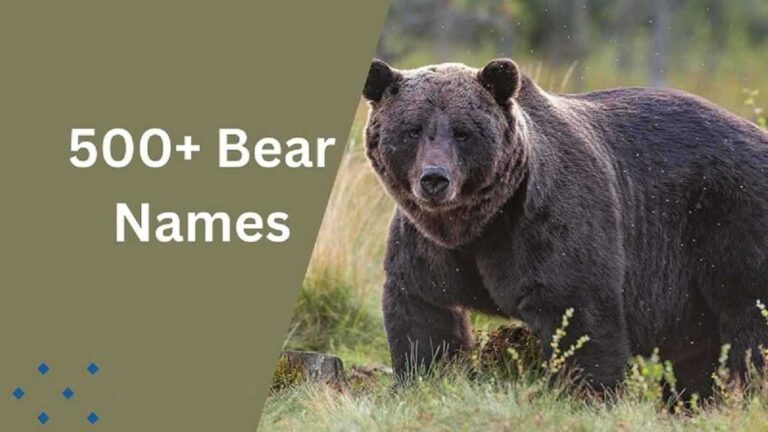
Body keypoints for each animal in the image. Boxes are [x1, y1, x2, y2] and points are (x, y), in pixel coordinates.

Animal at [361, 58, 768, 397]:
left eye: (463, 132)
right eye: (412, 130)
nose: (435, 179)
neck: (479, 225)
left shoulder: (548, 222)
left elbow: (578, 312)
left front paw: (586, 393)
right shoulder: (429, 246)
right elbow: (424, 316)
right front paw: (424, 380)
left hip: (729, 218)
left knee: (749, 317)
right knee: (697, 354)